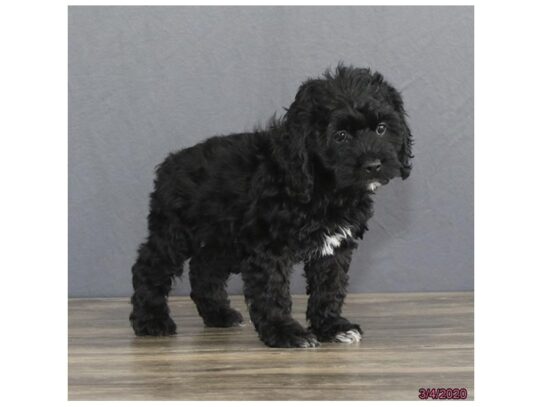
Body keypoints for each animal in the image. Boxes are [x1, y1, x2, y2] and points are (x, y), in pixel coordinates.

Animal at [130, 63, 414, 348]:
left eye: (381, 128)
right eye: (341, 136)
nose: (373, 165)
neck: (322, 187)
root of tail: (170, 164)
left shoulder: (334, 248)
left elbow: (329, 287)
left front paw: (332, 326)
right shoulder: (269, 249)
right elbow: (272, 291)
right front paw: (285, 332)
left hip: (223, 241)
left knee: (203, 269)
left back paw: (218, 314)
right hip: (175, 233)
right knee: (150, 267)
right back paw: (151, 320)